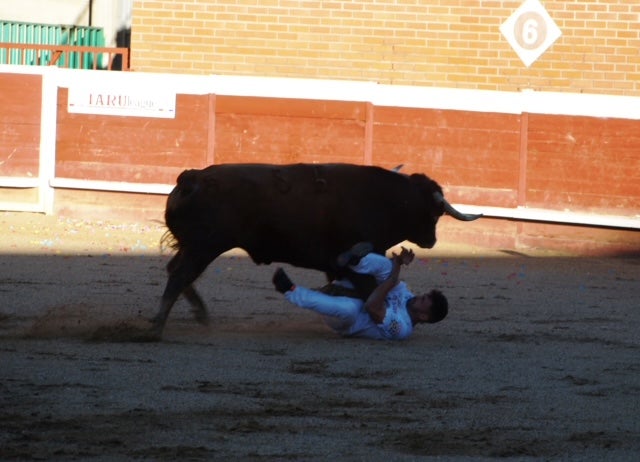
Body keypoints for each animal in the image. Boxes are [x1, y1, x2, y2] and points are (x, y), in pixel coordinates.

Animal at [151, 162, 480, 332]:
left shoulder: (335, 266)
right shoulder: (352, 261)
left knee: (176, 270)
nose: (432, 241)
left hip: (195, 246)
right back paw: (156, 326)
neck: (389, 201)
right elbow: (368, 290)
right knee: (180, 275)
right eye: (435, 214)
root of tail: (191, 177)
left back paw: (199, 315)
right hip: (204, 246)